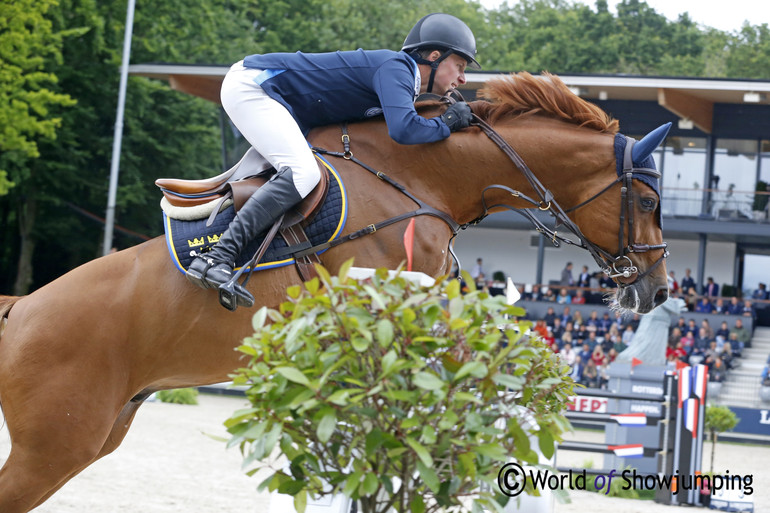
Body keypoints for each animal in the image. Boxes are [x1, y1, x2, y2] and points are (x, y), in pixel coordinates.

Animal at [0, 73, 664, 512]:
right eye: (648, 201)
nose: (657, 292)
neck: (420, 175)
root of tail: (22, 307)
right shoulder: (385, 304)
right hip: (57, 444)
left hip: (97, 433)